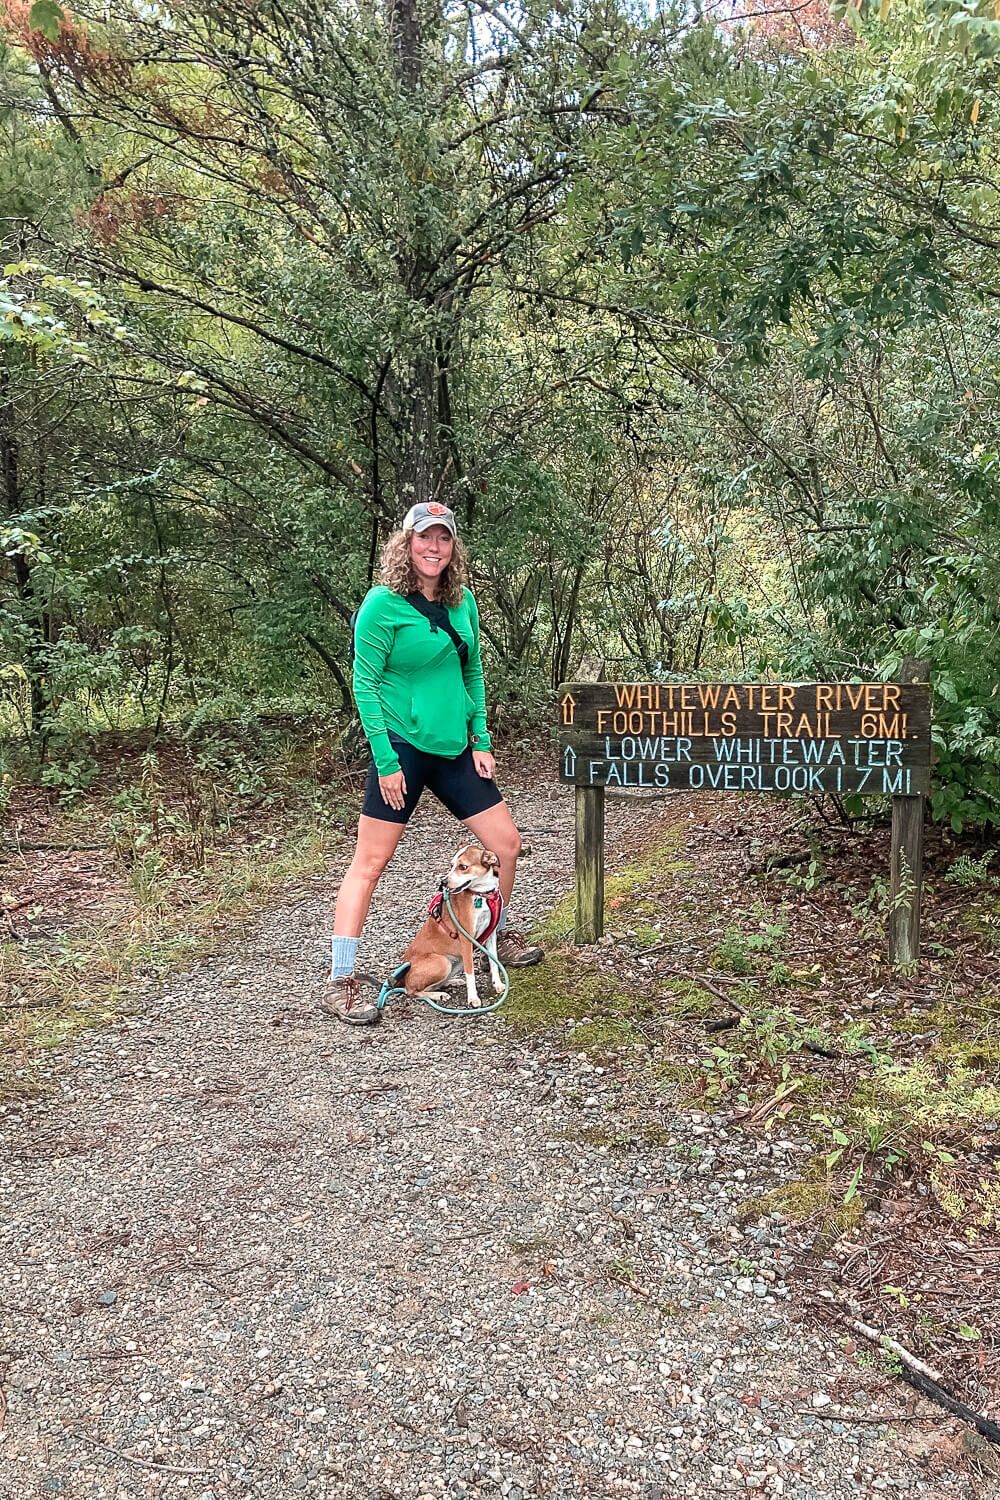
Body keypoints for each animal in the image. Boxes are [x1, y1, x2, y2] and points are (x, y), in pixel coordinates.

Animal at [401, 846, 503, 1008]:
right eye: (451, 865)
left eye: (463, 867)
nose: (443, 882)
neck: (482, 895)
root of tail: (404, 977)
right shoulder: (467, 940)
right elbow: (470, 973)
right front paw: (473, 998)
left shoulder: (491, 935)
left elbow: (494, 962)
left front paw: (497, 984)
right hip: (442, 962)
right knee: (412, 991)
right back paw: (439, 995)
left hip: (457, 962)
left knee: (434, 985)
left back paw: (451, 983)